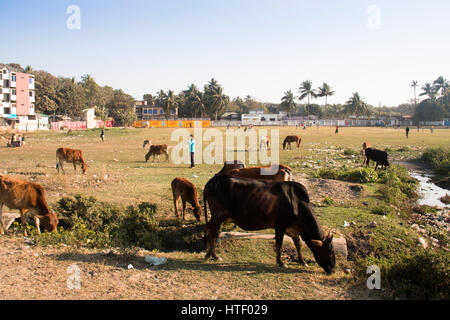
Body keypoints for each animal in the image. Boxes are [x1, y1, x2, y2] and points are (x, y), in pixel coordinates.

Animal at [202, 175, 336, 276]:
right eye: (329, 251)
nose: (333, 269)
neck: (298, 204)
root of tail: (210, 182)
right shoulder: (280, 225)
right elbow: (279, 243)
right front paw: (281, 262)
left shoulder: (293, 229)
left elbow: (298, 244)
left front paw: (302, 261)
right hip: (218, 215)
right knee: (210, 231)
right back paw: (213, 255)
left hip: (218, 217)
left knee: (212, 231)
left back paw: (211, 254)